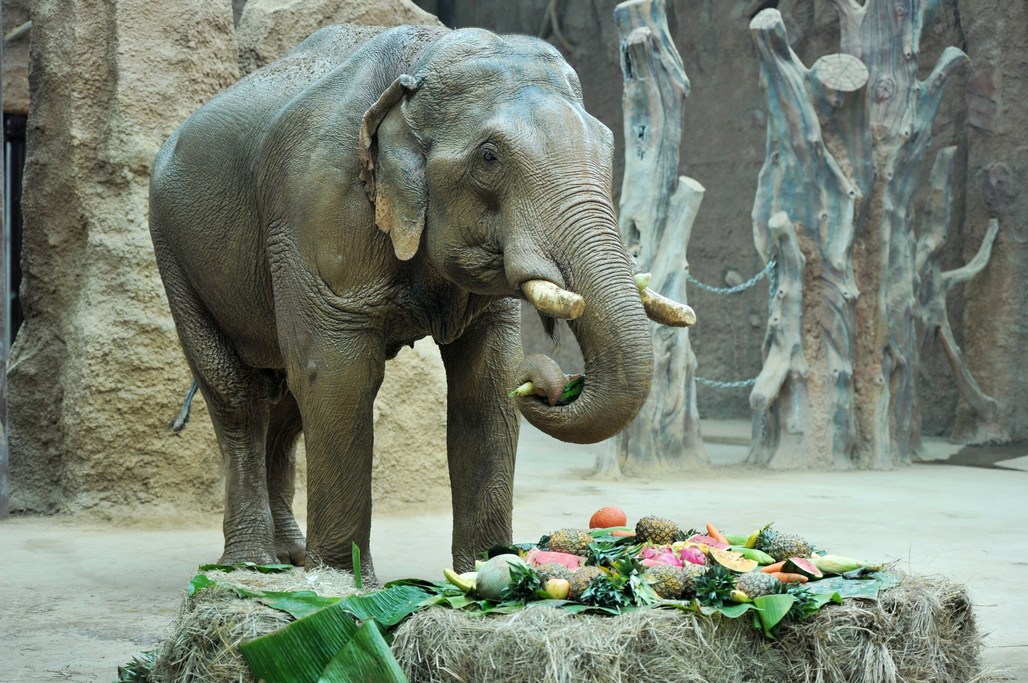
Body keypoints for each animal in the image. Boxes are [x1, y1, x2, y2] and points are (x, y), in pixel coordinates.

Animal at [147, 22, 690, 576]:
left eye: (609, 147)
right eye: (489, 158)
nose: (544, 384)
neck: (419, 66)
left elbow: (486, 379)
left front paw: (487, 568)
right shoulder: (317, 209)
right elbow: (336, 372)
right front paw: (342, 581)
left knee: (287, 401)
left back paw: (290, 558)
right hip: (173, 251)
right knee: (240, 396)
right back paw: (250, 567)